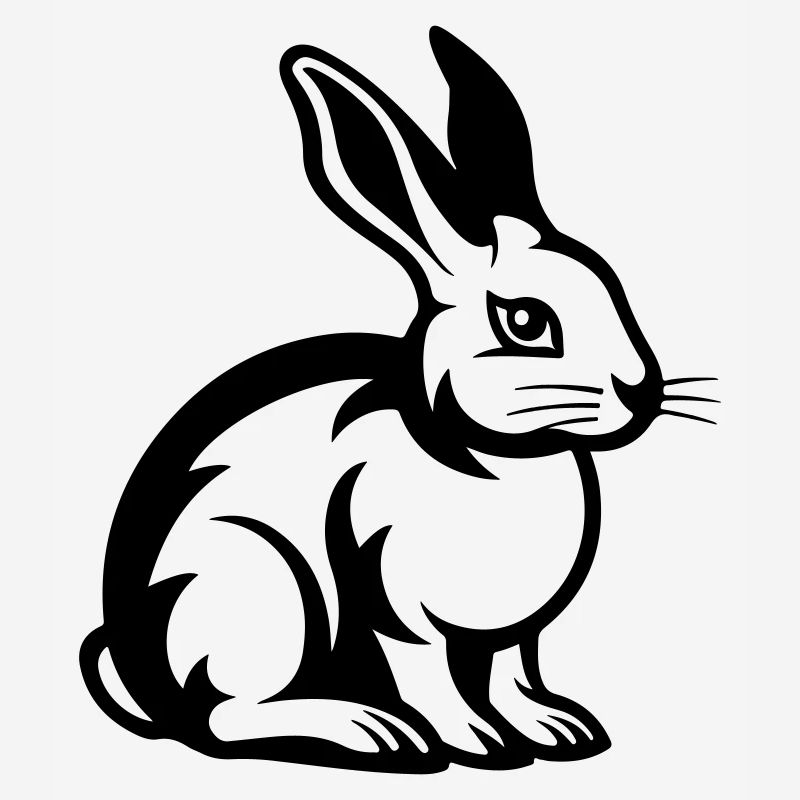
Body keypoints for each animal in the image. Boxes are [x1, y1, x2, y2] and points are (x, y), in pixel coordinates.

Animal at [79, 26, 717, 773]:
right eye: (525, 322)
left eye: (612, 283)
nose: (639, 391)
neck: (492, 457)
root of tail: (137, 665)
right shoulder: (394, 600)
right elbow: (430, 674)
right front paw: (474, 742)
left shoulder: (514, 632)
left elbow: (512, 673)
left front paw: (554, 729)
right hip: (259, 587)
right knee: (226, 718)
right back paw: (369, 729)